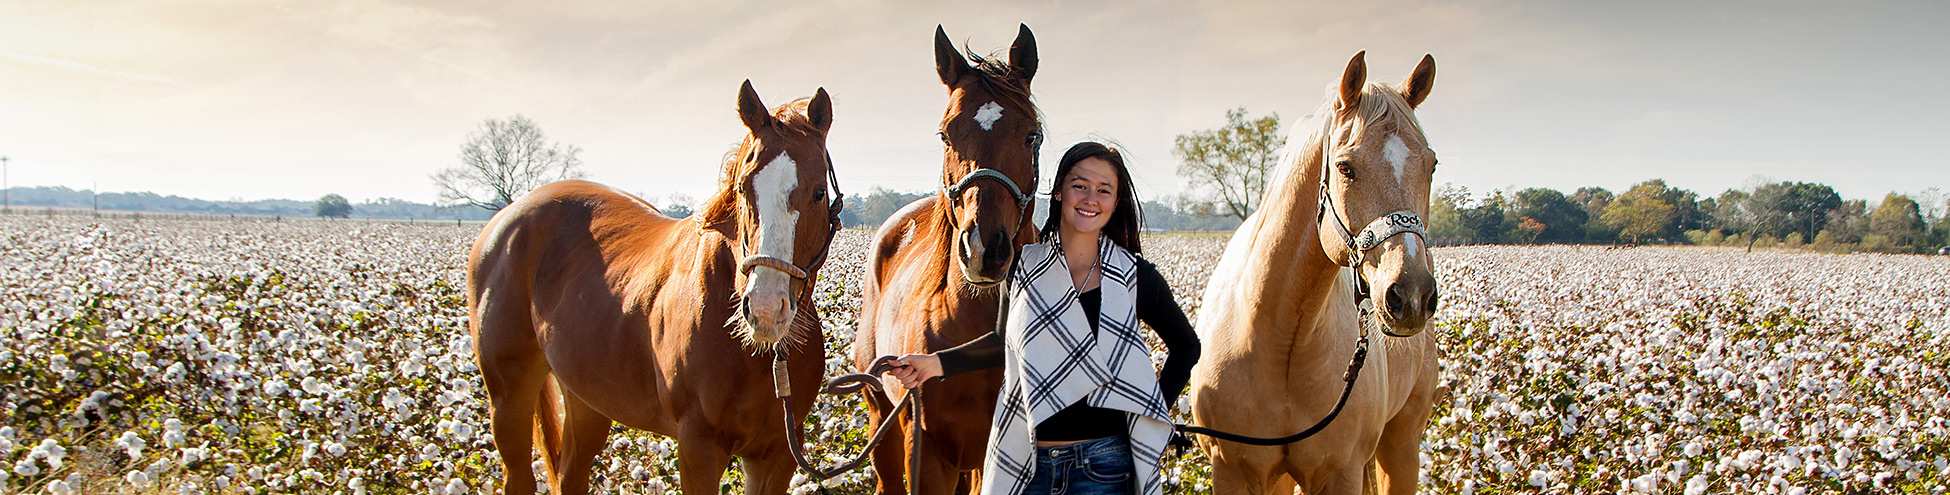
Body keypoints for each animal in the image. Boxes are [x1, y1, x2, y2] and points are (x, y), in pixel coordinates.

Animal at [471, 82, 846, 495]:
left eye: (818, 192)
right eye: (743, 188)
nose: (764, 309)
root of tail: (506, 218)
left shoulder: (776, 454)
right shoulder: (698, 448)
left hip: (587, 398)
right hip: (508, 397)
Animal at [1185, 52, 1450, 493]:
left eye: (1430, 165)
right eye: (1345, 168)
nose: (1411, 296)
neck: (1282, 338)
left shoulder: (1339, 473)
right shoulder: (1235, 470)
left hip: (1402, 441)